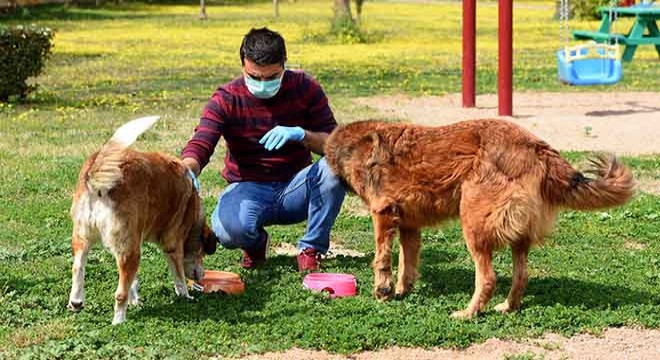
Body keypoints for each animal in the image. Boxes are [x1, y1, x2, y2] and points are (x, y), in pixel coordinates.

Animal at [67, 116, 217, 324]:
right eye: (202, 252)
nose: (202, 277)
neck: (193, 211)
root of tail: (98, 169)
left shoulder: (136, 239)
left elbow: (133, 279)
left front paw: (135, 300)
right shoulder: (173, 244)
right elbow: (178, 276)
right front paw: (186, 296)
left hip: (86, 238)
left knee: (78, 267)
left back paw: (76, 301)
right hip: (128, 249)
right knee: (119, 293)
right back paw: (119, 321)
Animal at [324, 119, 636, 320]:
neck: (356, 145)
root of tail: (535, 146)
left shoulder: (383, 213)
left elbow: (383, 259)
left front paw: (383, 290)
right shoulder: (410, 224)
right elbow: (406, 263)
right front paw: (401, 290)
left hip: (473, 223)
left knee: (487, 278)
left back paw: (469, 313)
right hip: (518, 234)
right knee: (521, 275)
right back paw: (507, 307)